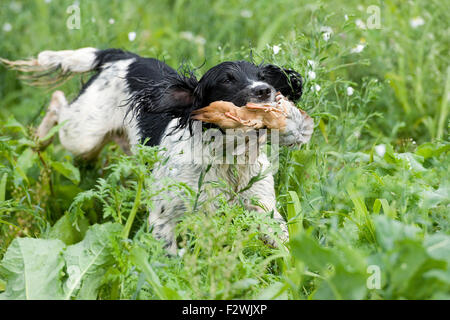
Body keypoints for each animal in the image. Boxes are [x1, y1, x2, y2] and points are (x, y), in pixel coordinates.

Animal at [1, 48, 312, 252]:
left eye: (264, 77)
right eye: (227, 79)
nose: (264, 90)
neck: (228, 160)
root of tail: (126, 57)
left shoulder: (263, 209)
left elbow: (283, 242)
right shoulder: (164, 218)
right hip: (81, 135)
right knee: (56, 104)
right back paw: (37, 141)